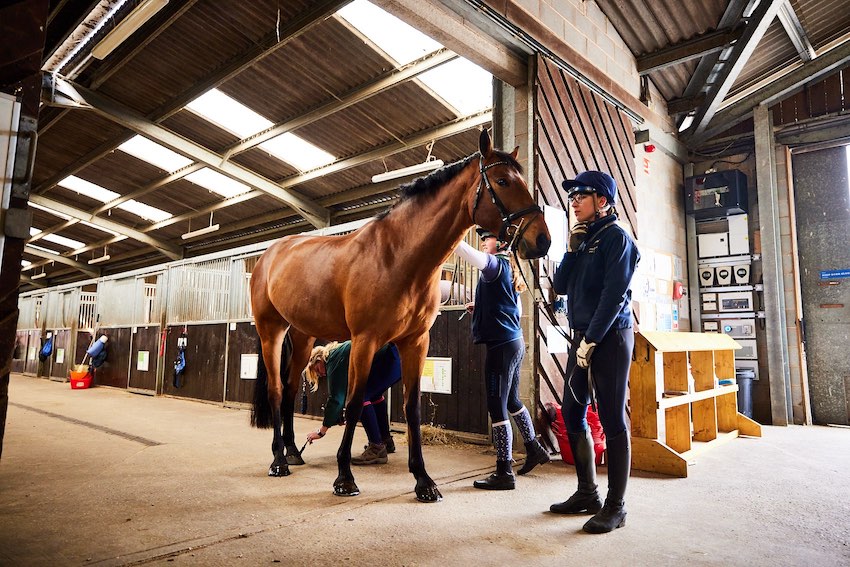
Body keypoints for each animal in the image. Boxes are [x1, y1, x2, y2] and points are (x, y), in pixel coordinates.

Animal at [248, 131, 548, 504]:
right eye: (504, 181)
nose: (542, 240)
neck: (396, 256)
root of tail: (270, 254)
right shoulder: (364, 341)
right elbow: (353, 402)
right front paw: (344, 478)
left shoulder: (415, 342)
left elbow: (411, 407)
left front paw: (423, 480)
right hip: (271, 330)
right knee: (276, 390)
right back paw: (278, 460)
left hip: (303, 335)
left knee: (290, 389)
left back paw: (292, 451)